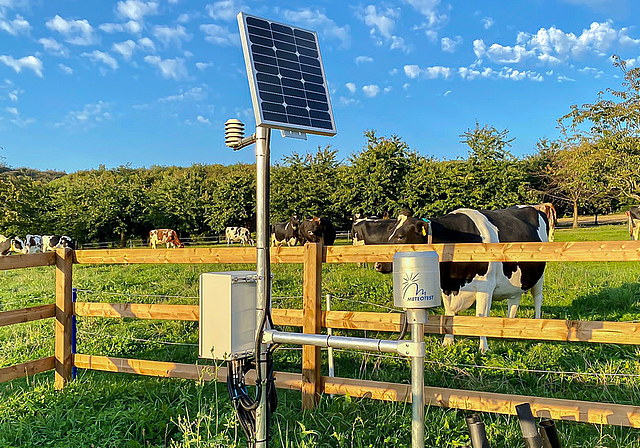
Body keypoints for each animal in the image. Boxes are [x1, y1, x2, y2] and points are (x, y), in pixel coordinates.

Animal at [380, 207, 552, 354]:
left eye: (401, 236)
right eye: (389, 235)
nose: (378, 264)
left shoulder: (485, 288)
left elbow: (481, 317)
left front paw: (483, 348)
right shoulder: (447, 287)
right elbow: (449, 314)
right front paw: (448, 342)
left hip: (539, 276)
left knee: (537, 299)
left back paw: (537, 336)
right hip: (516, 281)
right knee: (514, 302)